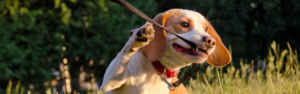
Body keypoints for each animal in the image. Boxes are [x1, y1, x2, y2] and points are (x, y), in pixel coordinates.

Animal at [101, 8, 232, 93]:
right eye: (184, 24)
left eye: (206, 29)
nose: (211, 41)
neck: (155, 71)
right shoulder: (108, 83)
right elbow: (125, 51)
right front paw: (137, 39)